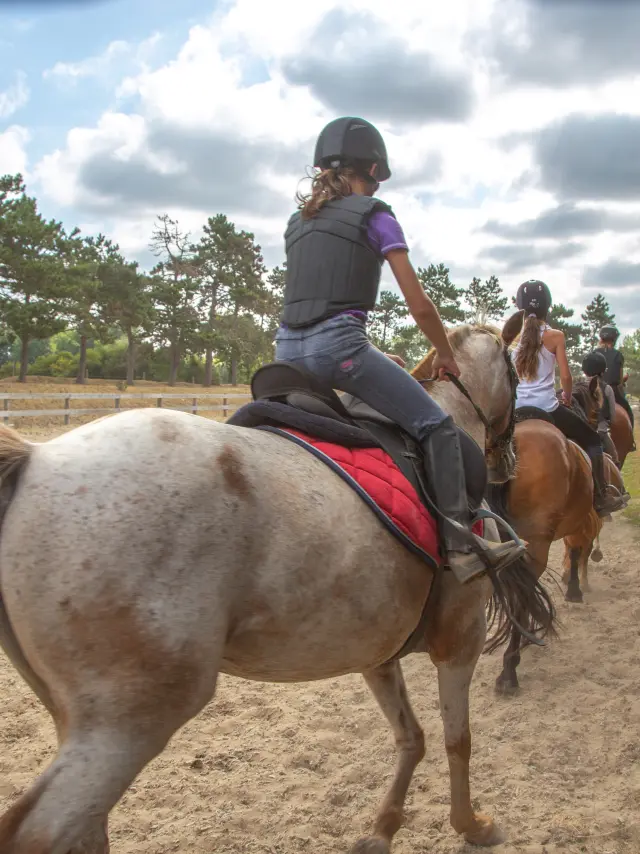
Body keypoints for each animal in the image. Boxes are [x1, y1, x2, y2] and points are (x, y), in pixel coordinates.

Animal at [0, 321, 555, 854]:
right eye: (515, 373)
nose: (510, 459)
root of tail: (37, 460)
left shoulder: (378, 651)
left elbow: (410, 737)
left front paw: (382, 831)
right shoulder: (461, 639)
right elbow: (457, 740)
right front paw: (471, 825)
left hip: (74, 717)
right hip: (124, 724)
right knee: (42, 831)